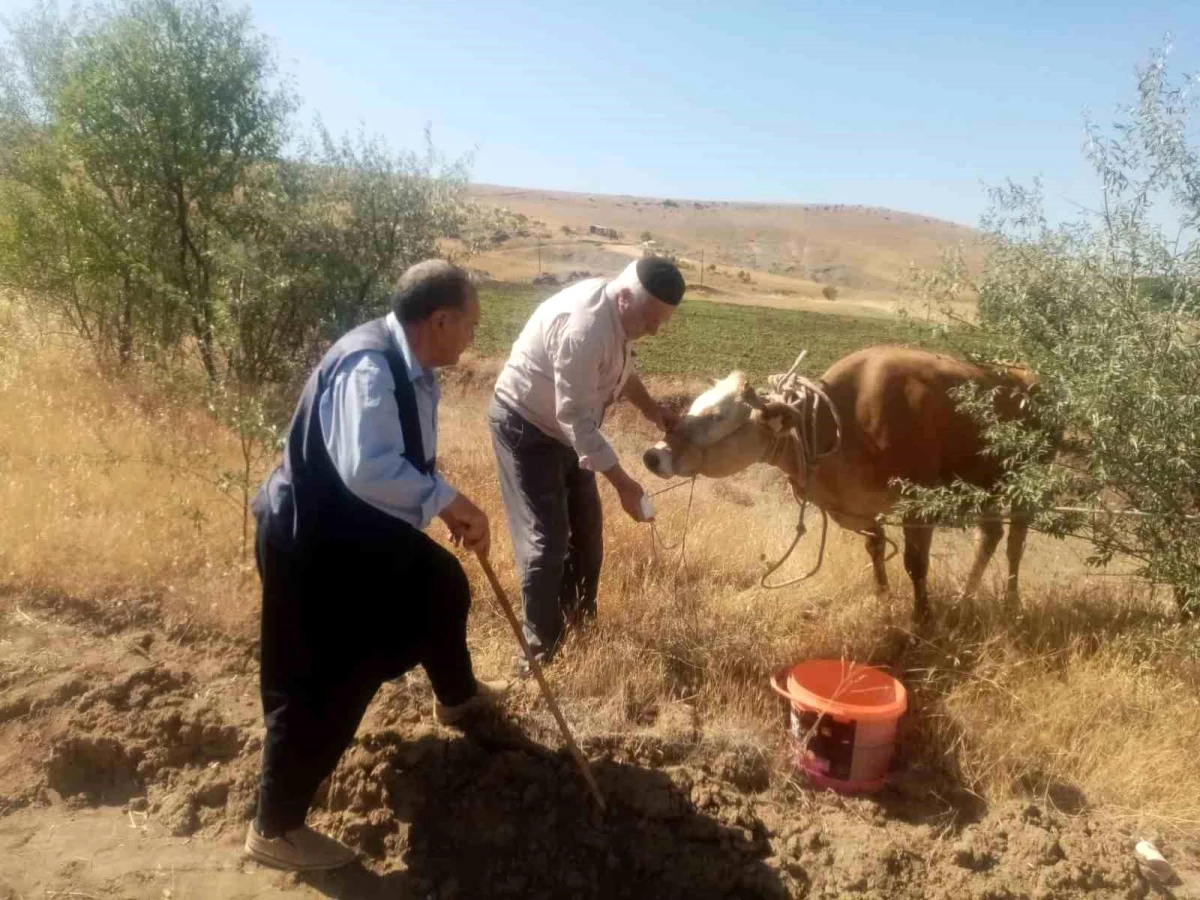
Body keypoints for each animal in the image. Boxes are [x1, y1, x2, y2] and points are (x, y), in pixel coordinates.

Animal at [638, 345, 1041, 619]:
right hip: (987, 483)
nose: (653, 456)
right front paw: (883, 601)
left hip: (1026, 484)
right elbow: (876, 549)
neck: (843, 427)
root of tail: (1024, 372)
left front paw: (922, 619)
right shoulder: (860, 506)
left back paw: (1011, 602)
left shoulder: (918, 503)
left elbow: (915, 564)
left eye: (717, 416)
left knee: (1015, 542)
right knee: (990, 536)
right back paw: (965, 599)